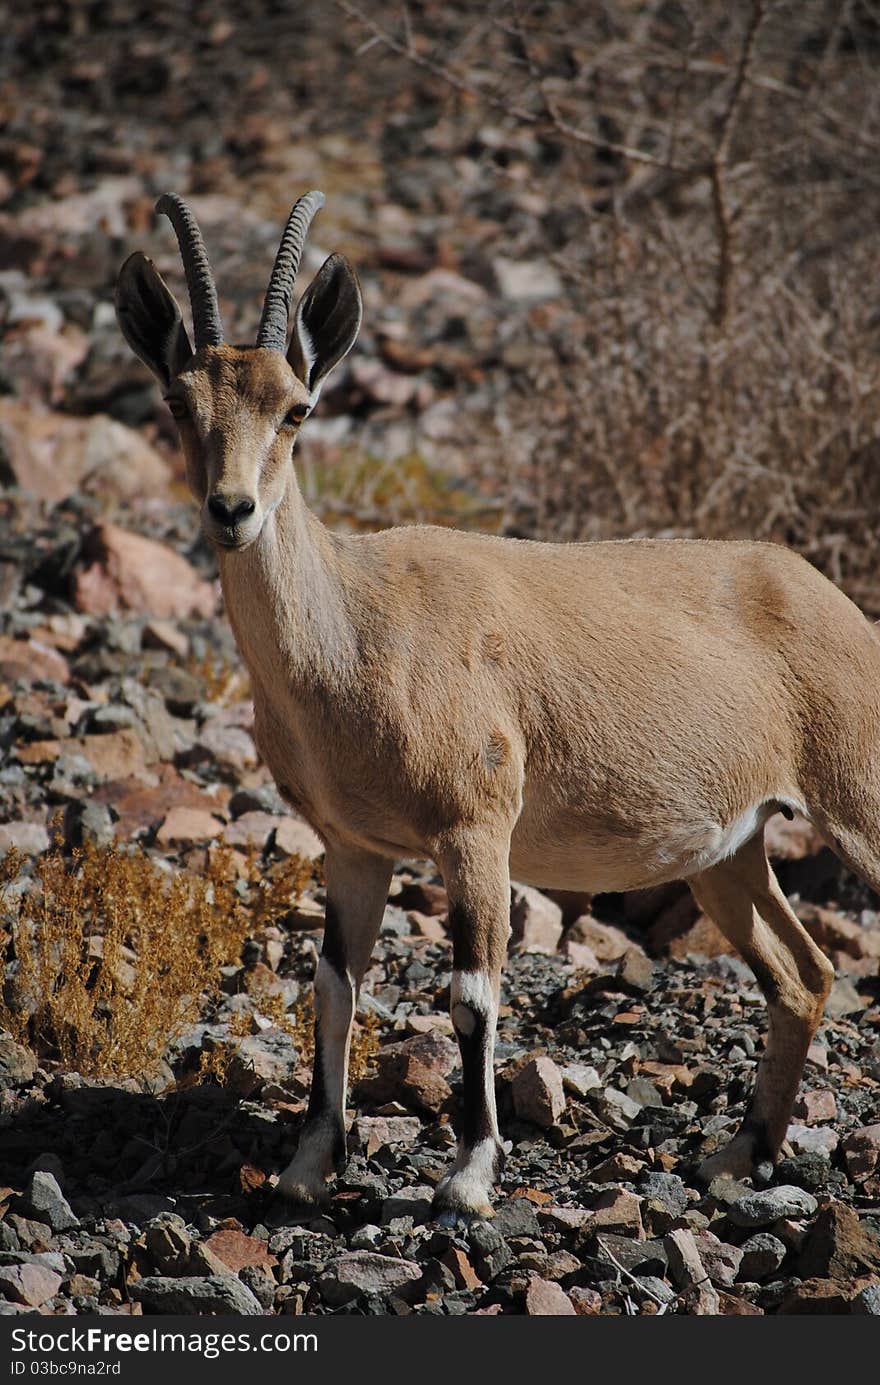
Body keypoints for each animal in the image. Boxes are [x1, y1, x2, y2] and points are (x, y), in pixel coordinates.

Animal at [118, 192, 880, 1224]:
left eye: (296, 409)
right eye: (178, 403)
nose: (231, 509)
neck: (357, 627)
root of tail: (823, 594)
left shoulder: (475, 830)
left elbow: (472, 993)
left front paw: (470, 1177)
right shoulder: (353, 847)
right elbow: (332, 984)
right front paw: (309, 1165)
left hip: (857, 803)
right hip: (731, 846)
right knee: (801, 974)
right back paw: (738, 1153)